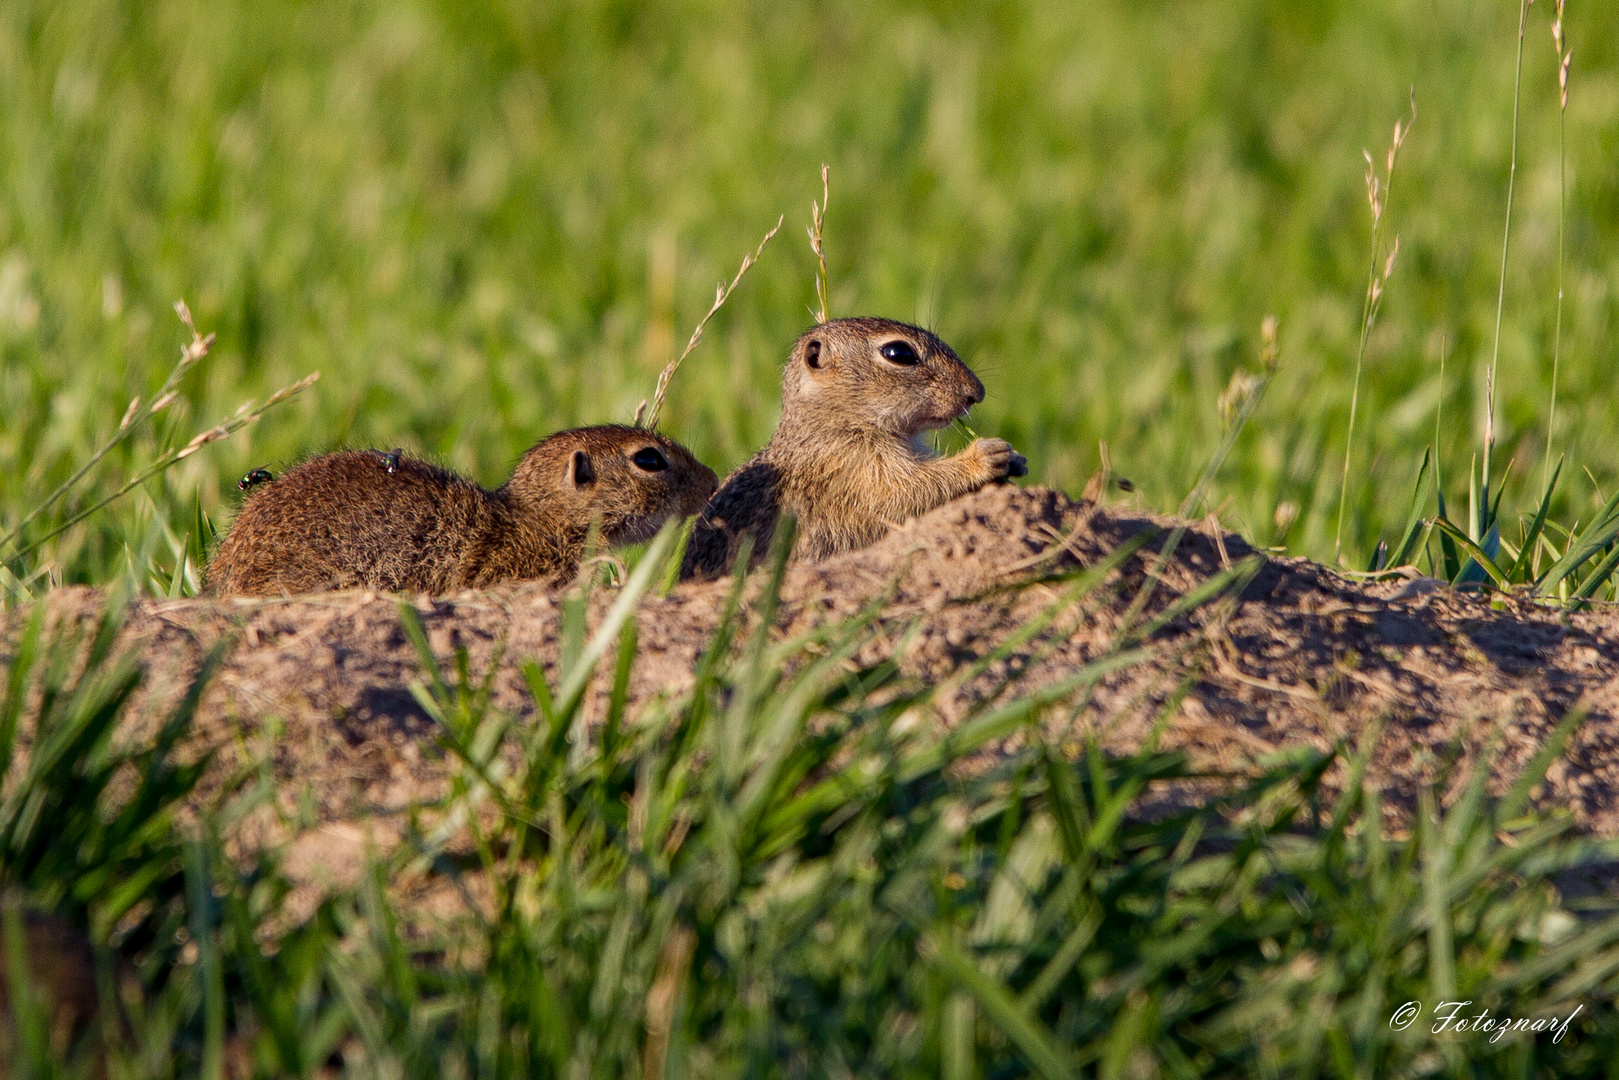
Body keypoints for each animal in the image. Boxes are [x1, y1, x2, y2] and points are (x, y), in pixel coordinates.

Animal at [683, 317, 1023, 579]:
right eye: (899, 353)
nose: (976, 392)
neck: (832, 422)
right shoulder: (854, 470)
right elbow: (907, 491)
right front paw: (986, 455)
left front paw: (1017, 460)